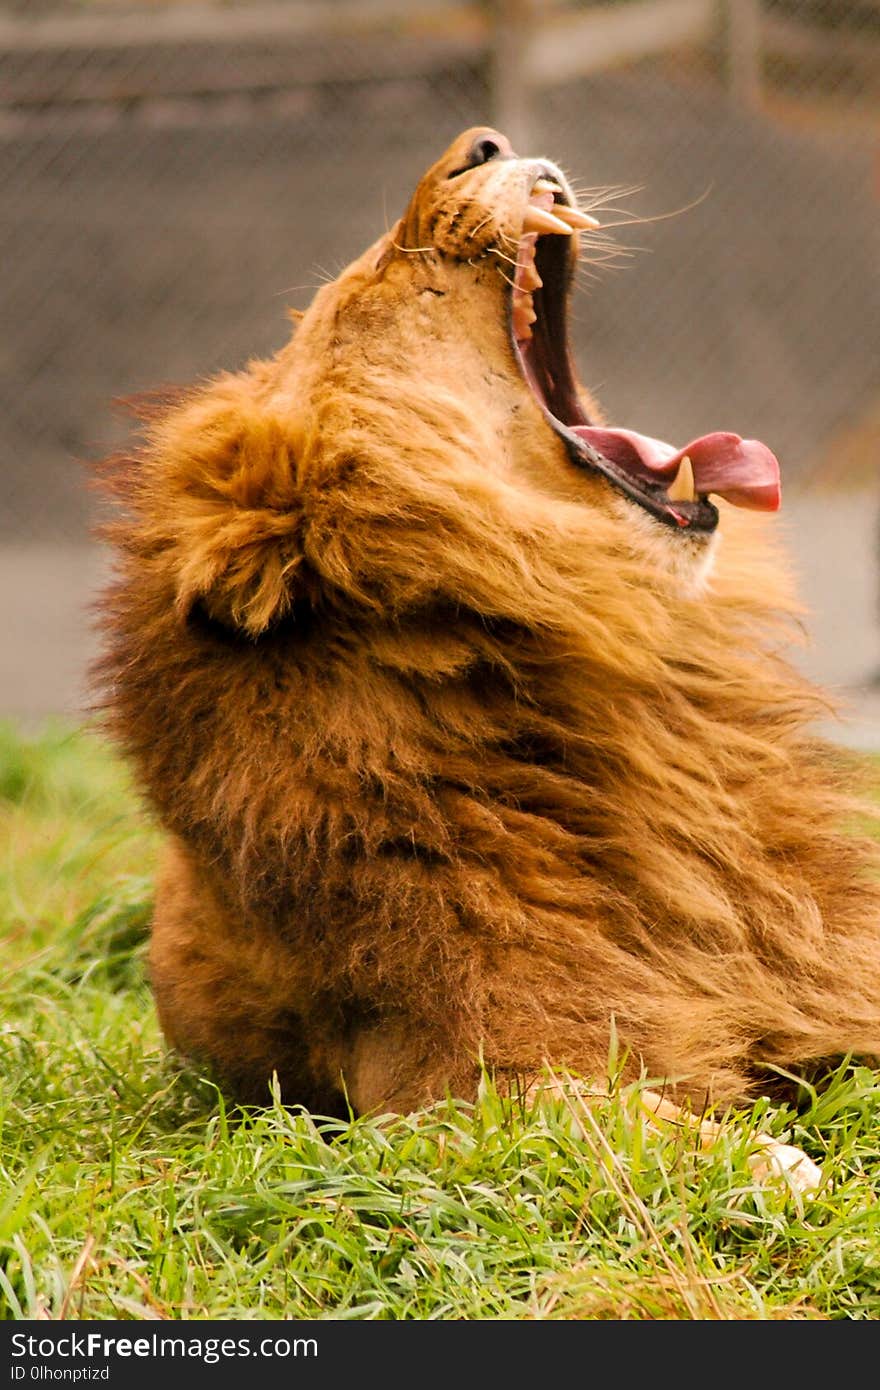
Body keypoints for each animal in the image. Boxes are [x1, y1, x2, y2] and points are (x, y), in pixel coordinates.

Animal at [95, 125, 878, 1178]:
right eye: (379, 279)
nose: (485, 142)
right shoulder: (446, 1086)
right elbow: (646, 1127)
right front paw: (783, 1167)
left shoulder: (816, 977)